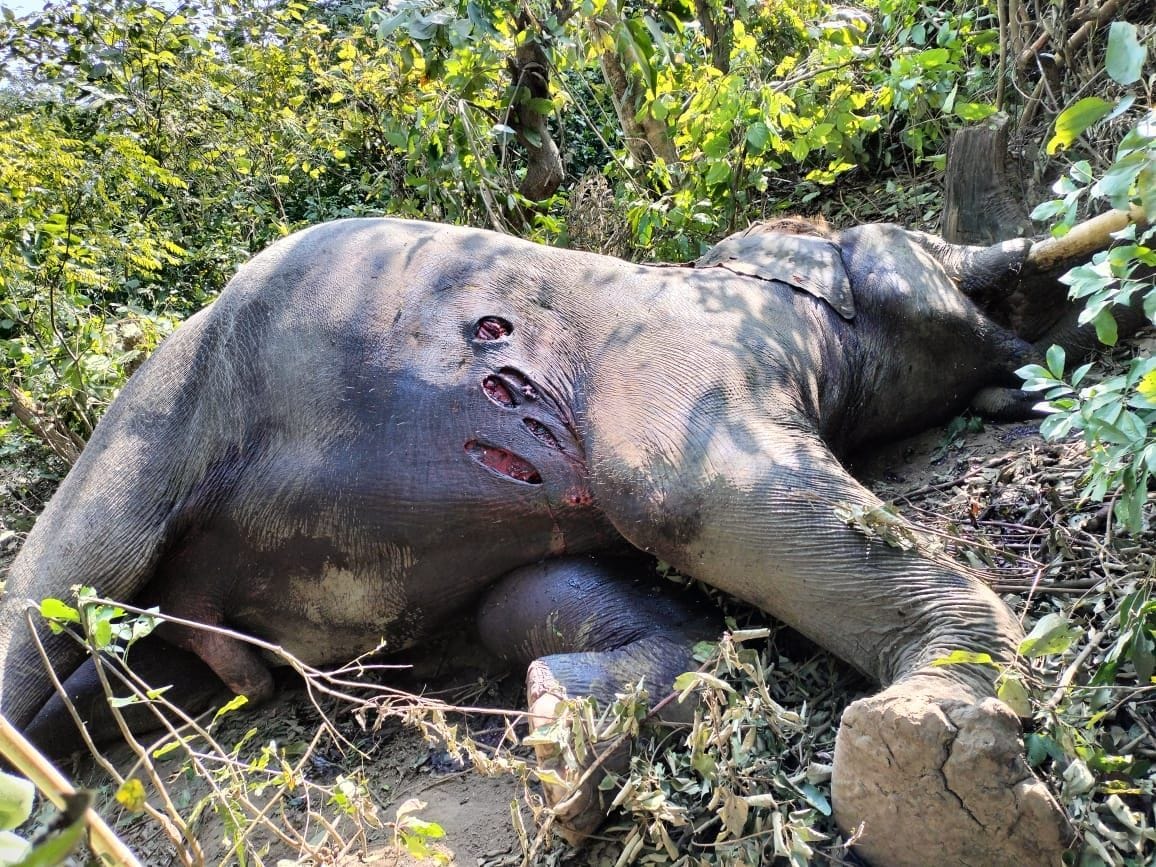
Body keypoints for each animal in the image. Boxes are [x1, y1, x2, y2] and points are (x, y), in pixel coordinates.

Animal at [0, 214, 1106, 865]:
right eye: (929, 247)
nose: (1043, 343)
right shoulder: (684, 361)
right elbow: (675, 493)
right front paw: (942, 786)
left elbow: (536, 593)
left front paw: (562, 738)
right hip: (151, 422)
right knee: (55, 592)